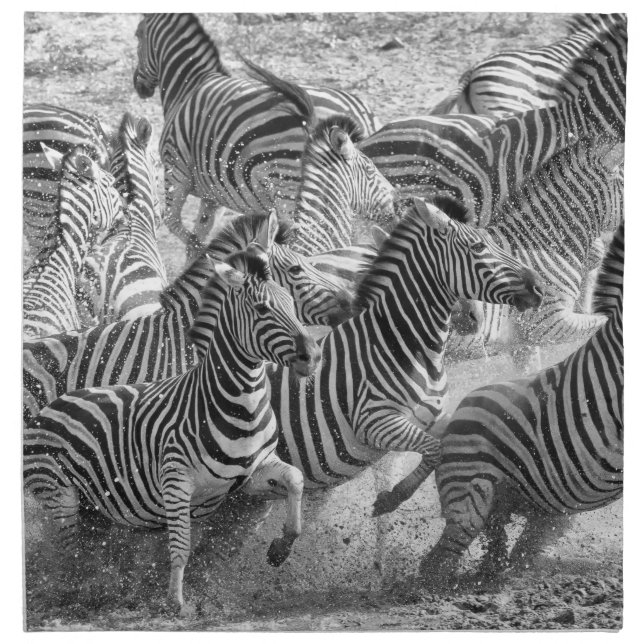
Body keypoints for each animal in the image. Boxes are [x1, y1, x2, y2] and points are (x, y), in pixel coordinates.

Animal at [24, 245, 321, 612]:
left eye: (292, 305)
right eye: (263, 309)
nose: (313, 356)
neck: (239, 404)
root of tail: (53, 404)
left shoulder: (249, 474)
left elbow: (295, 479)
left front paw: (281, 549)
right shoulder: (176, 480)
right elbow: (180, 545)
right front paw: (175, 602)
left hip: (95, 508)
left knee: (92, 549)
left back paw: (106, 591)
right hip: (59, 493)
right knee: (71, 554)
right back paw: (82, 595)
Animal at [133, 13, 385, 254]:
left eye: (137, 35)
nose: (139, 86)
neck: (188, 85)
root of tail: (362, 111)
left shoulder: (175, 170)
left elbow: (174, 224)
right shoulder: (213, 194)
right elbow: (198, 236)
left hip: (289, 188)